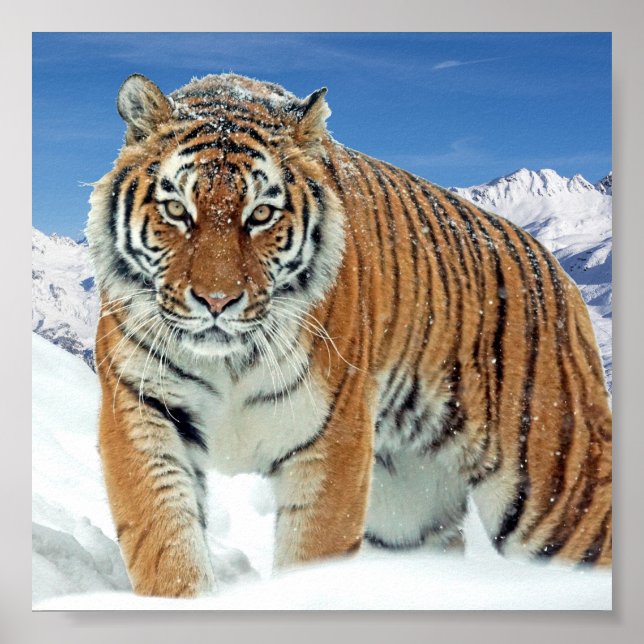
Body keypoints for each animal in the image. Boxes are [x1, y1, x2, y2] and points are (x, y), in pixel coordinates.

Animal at [86, 72, 612, 597]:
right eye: (177, 210)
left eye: (261, 215)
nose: (216, 301)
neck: (230, 361)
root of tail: (555, 269)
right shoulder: (141, 407)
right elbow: (165, 540)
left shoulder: (331, 436)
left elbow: (313, 552)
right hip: (407, 511)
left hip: (556, 493)